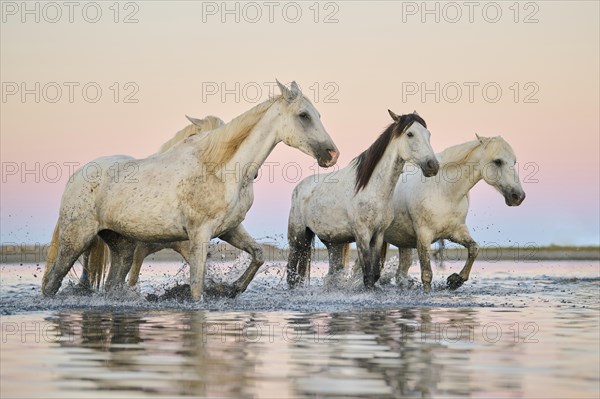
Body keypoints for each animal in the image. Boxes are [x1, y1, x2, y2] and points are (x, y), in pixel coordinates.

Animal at [42, 81, 340, 300]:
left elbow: (258, 254)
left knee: (113, 284)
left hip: (122, 247)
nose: (332, 154)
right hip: (75, 240)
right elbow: (197, 286)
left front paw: (233, 288)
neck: (222, 169)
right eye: (303, 115)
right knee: (52, 283)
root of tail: (75, 178)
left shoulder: (229, 229)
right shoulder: (199, 235)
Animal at [284, 111, 438, 290]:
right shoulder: (362, 235)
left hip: (331, 242)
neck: (372, 189)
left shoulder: (378, 235)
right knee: (291, 274)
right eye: (410, 134)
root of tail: (298, 188)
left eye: (428, 134)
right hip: (297, 239)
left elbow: (375, 273)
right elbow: (367, 276)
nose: (432, 165)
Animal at [354, 136, 528, 292]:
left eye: (514, 162)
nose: (518, 196)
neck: (445, 192)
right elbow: (427, 274)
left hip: (401, 244)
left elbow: (474, 249)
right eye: (498, 161)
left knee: (400, 275)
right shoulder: (424, 236)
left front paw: (455, 281)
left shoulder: (456, 232)